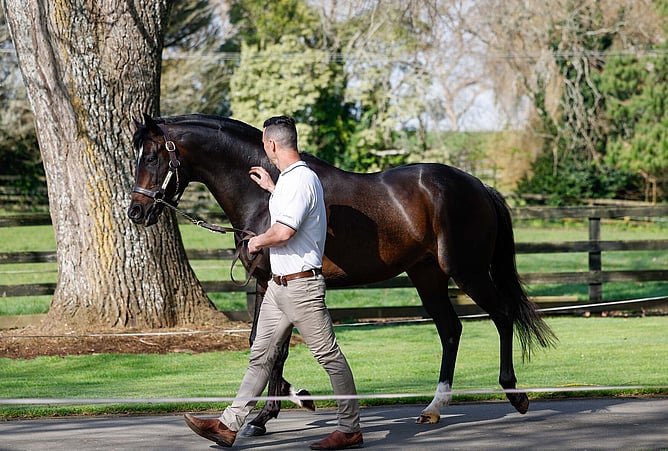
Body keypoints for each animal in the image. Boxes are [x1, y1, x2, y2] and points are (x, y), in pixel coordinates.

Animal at [128, 113, 556, 435]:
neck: (267, 194)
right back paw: (434, 407)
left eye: (151, 157)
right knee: (451, 330)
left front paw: (274, 409)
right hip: (427, 276)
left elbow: (273, 348)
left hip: (467, 271)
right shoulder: (268, 285)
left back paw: (515, 394)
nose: (136, 212)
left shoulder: (276, 283)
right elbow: (263, 344)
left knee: (501, 315)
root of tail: (479, 186)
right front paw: (282, 403)